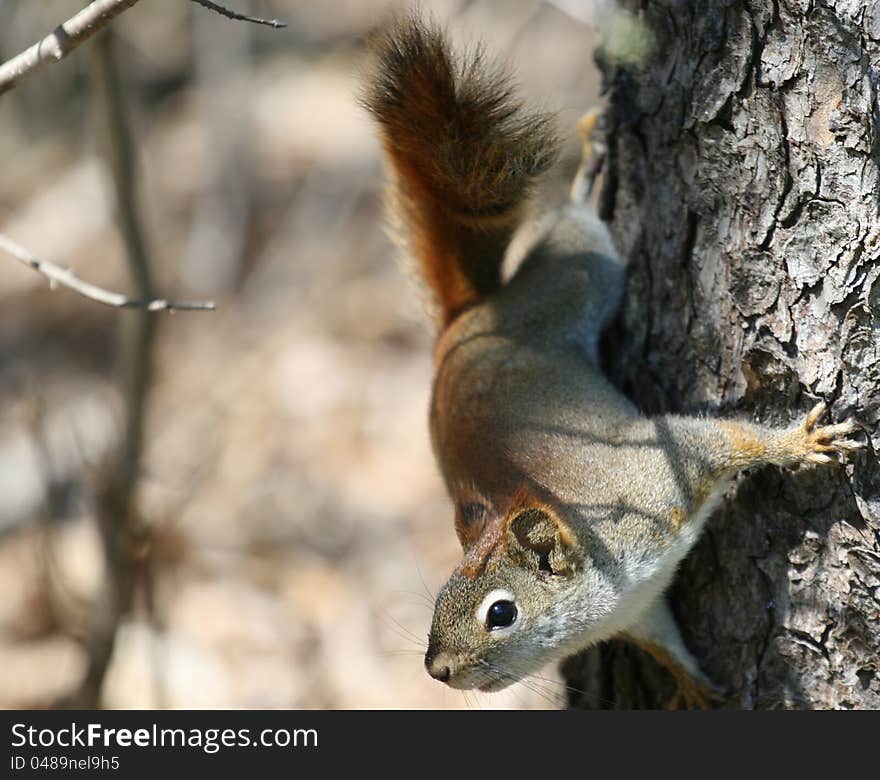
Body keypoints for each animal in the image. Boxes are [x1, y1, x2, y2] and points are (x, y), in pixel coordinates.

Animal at [360, 12, 868, 708]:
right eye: (439, 598)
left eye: (501, 613)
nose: (439, 669)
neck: (605, 589)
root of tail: (461, 326)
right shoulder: (639, 609)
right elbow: (666, 642)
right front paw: (693, 689)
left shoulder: (664, 475)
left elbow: (728, 439)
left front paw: (798, 442)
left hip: (580, 278)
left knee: (572, 225)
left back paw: (590, 168)